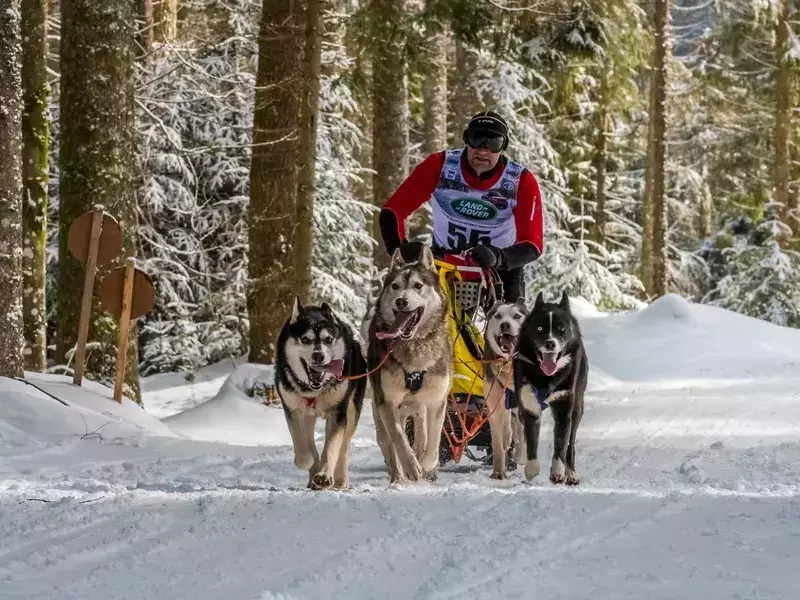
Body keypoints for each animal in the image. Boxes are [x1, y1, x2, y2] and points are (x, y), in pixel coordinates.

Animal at [274, 298, 364, 490]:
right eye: (305, 339)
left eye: (328, 339)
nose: (318, 355)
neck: (313, 390)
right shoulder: (294, 411)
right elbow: (303, 449)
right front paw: (310, 463)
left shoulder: (337, 412)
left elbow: (331, 447)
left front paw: (324, 475)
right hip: (308, 415)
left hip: (352, 410)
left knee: (344, 447)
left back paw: (339, 479)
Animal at [368, 244, 454, 482]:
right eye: (395, 286)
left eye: (418, 285)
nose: (401, 301)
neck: (414, 348)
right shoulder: (387, 402)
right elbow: (398, 437)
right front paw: (410, 466)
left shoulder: (436, 401)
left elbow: (433, 443)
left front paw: (425, 465)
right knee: (387, 441)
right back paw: (398, 475)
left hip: (418, 407)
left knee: (421, 432)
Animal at [512, 292, 588, 486]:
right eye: (540, 328)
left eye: (561, 329)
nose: (550, 344)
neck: (546, 377)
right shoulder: (529, 405)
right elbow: (531, 440)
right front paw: (531, 469)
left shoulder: (564, 406)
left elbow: (561, 443)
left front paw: (558, 472)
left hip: (577, 407)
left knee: (571, 444)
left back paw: (571, 473)